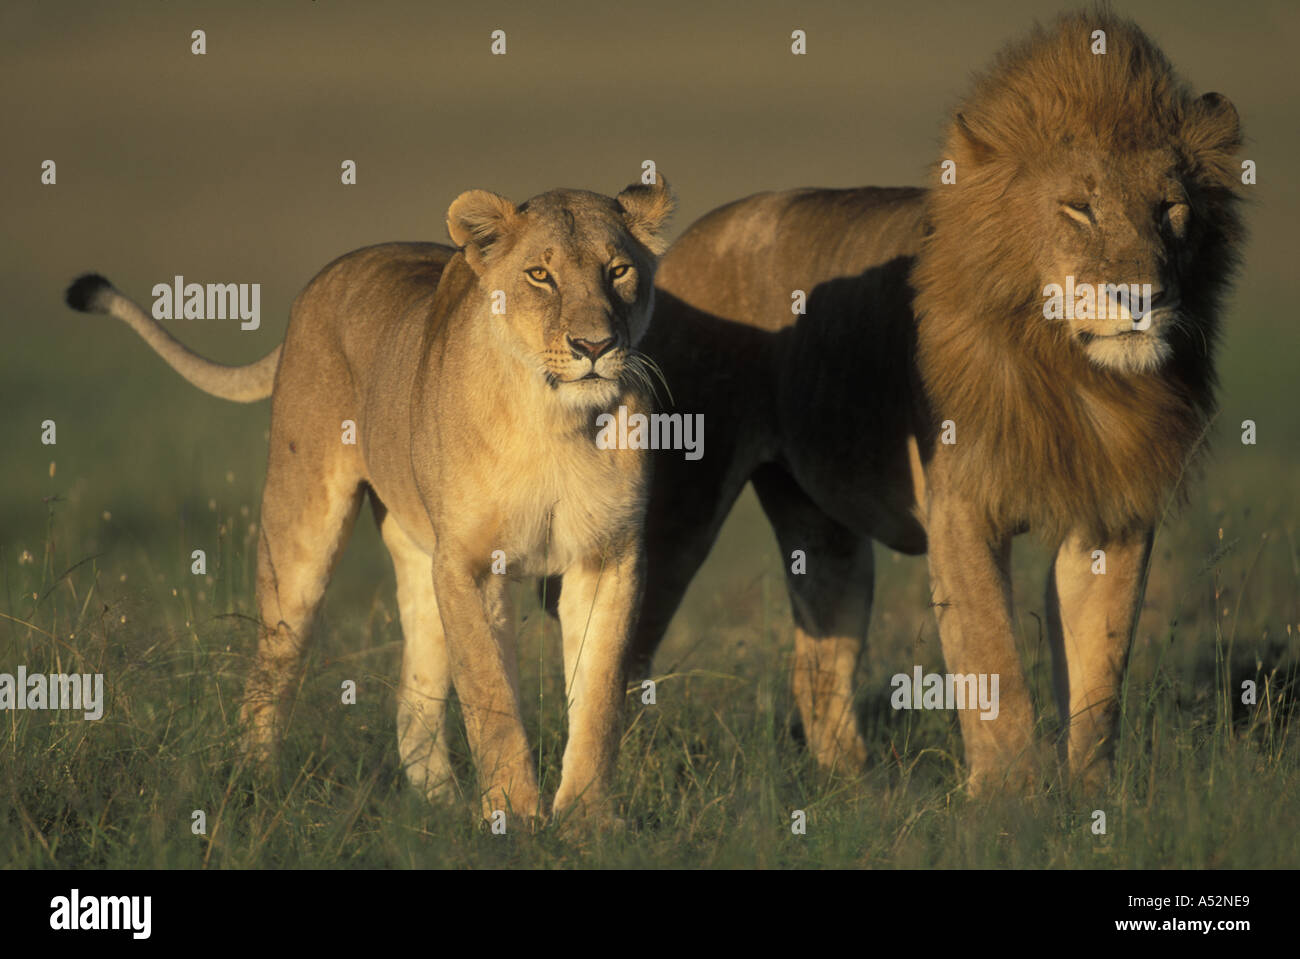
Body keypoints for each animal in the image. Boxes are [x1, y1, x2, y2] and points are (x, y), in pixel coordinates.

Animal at [66, 176, 675, 824]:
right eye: (540, 275)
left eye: (617, 270)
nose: (595, 344)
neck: (555, 421)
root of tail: (328, 273)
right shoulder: (469, 565)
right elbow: (491, 697)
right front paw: (514, 815)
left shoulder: (609, 557)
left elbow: (598, 699)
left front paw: (586, 821)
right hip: (301, 534)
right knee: (271, 670)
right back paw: (254, 787)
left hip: (418, 555)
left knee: (413, 703)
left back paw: (437, 810)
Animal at [614, 10, 1245, 793]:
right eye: (1078, 208)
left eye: (1172, 210)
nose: (1142, 299)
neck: (1070, 373)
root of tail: (685, 242)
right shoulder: (961, 508)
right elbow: (992, 657)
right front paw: (1010, 796)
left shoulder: (1113, 512)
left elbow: (1100, 667)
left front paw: (1095, 795)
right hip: (680, 507)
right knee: (624, 641)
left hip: (824, 528)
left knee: (818, 666)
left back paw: (857, 789)